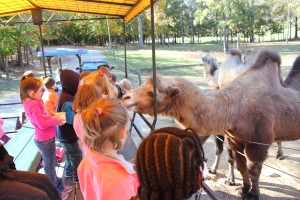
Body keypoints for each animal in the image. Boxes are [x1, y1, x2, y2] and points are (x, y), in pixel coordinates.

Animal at [122, 49, 300, 199]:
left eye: (152, 93)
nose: (125, 97)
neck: (234, 108)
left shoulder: (257, 143)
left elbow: (253, 171)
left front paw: (252, 195)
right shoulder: (235, 140)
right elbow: (241, 167)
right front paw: (242, 189)